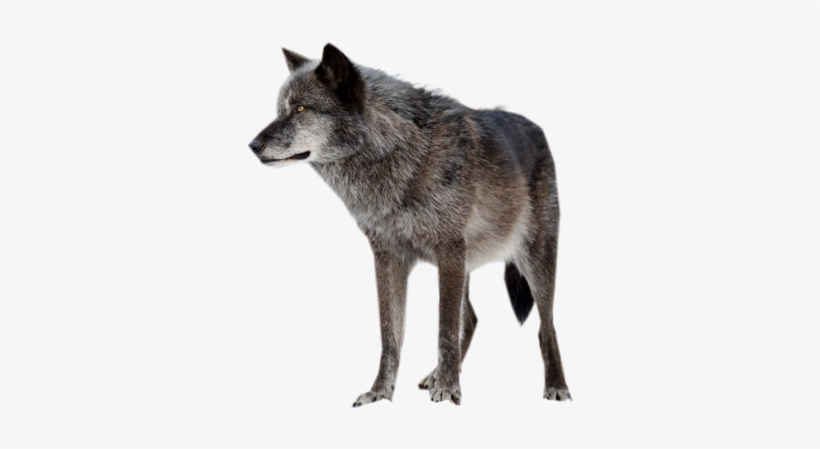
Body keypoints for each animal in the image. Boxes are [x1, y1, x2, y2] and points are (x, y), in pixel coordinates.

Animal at [249, 44, 571, 406]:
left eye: (301, 108)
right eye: (280, 110)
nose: (253, 146)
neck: (400, 154)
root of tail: (536, 127)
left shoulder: (449, 251)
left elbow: (445, 328)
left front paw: (448, 390)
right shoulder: (389, 257)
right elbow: (390, 336)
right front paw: (380, 393)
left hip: (535, 261)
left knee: (546, 325)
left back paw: (556, 387)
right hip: (469, 265)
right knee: (473, 319)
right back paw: (436, 374)